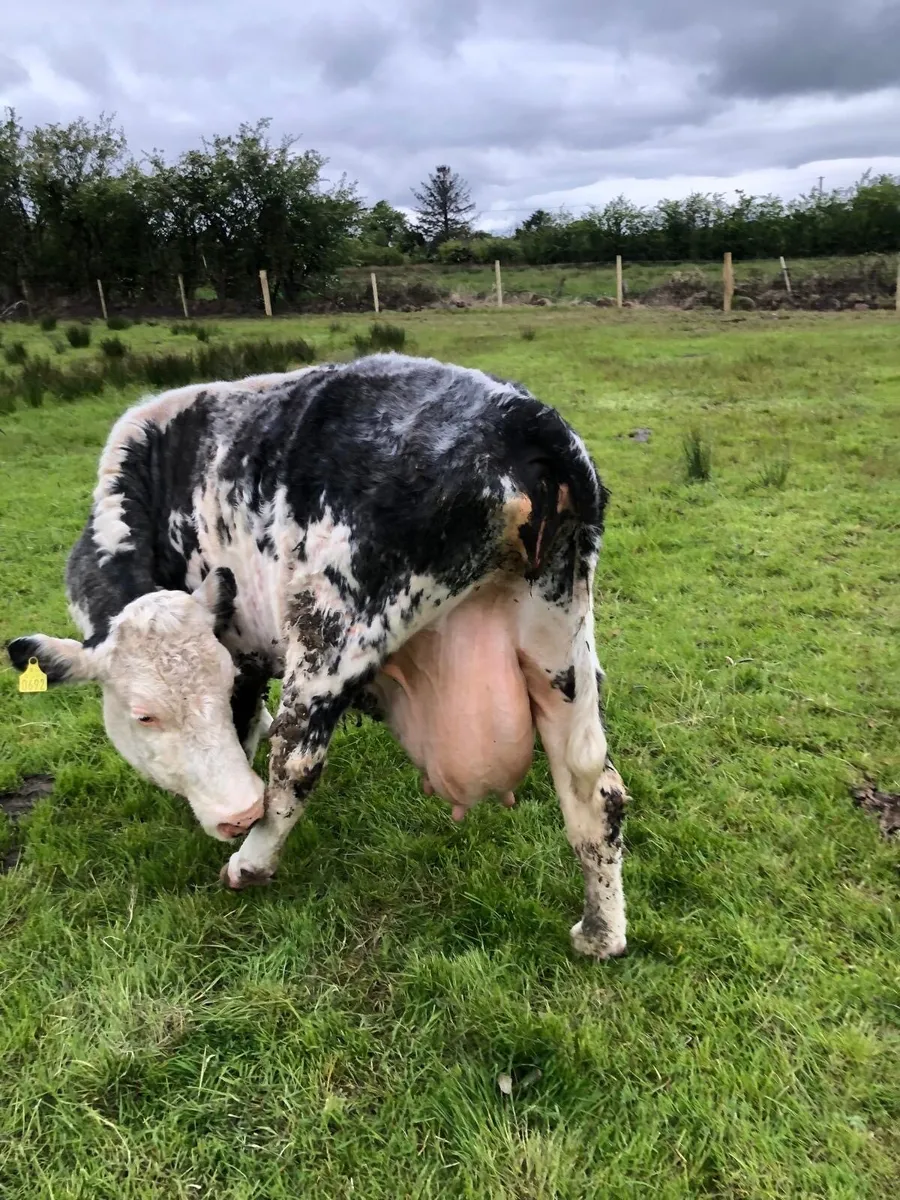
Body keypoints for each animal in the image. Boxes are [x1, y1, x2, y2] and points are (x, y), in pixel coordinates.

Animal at [7, 352, 628, 959]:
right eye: (146, 715)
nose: (238, 814)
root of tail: (525, 420)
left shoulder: (243, 652)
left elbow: (246, 732)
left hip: (328, 636)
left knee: (296, 763)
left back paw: (251, 862)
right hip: (561, 646)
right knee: (595, 787)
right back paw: (601, 934)